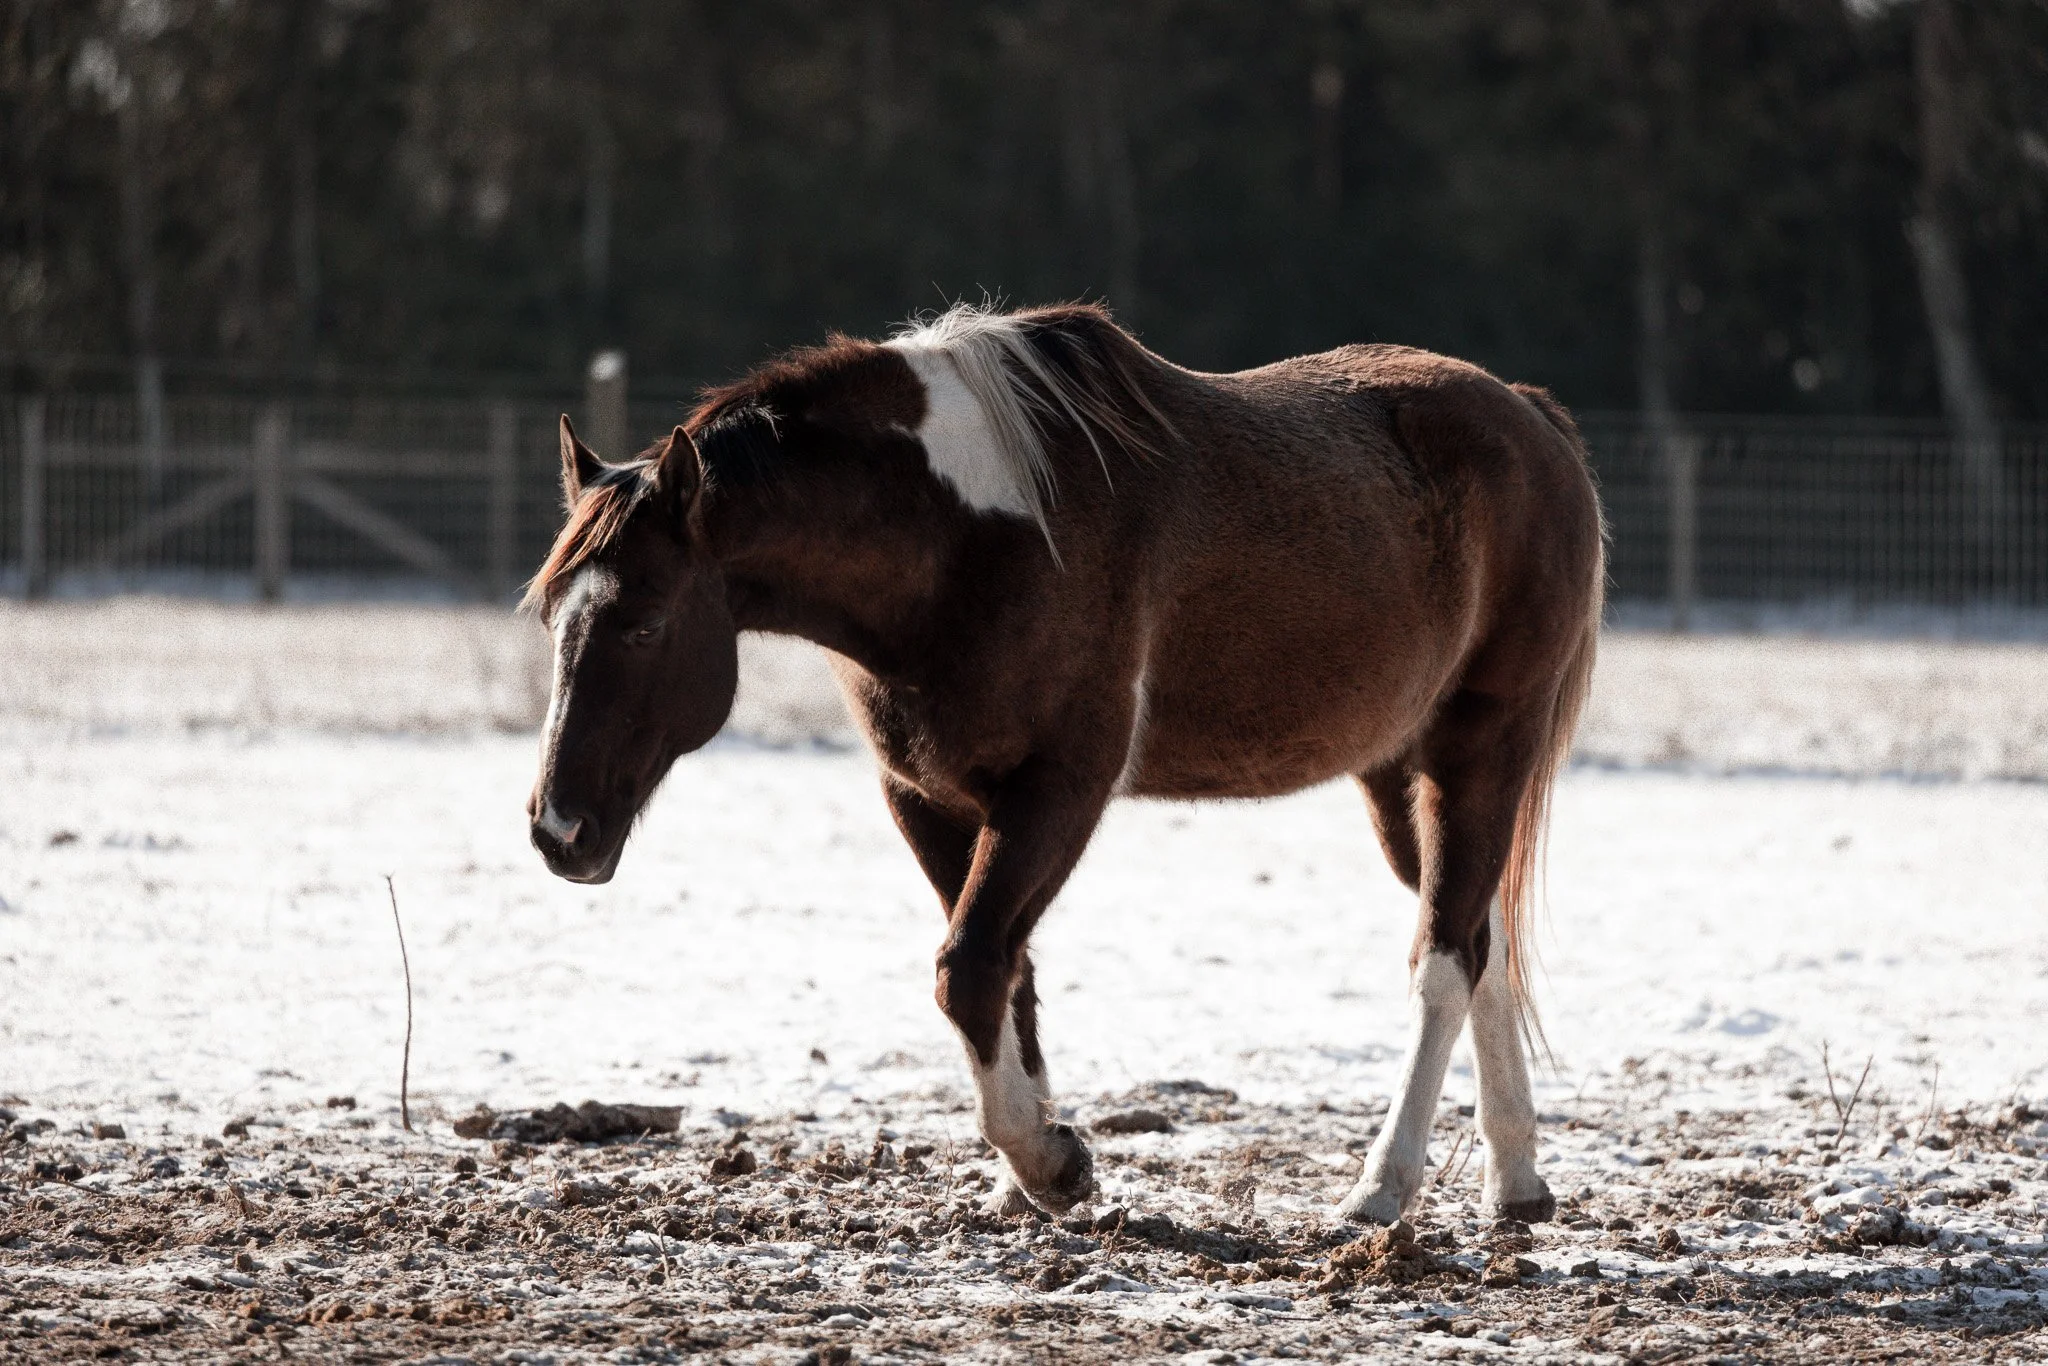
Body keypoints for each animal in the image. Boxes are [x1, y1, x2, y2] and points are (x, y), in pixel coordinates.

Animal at [522, 302, 1604, 1225]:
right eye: (549, 614)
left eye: (644, 621)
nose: (559, 829)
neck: (959, 538)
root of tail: (1533, 419)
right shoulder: (928, 797)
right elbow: (1005, 970)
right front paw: (1028, 1170)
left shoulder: (1059, 789)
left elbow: (969, 966)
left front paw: (1050, 1162)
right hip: (1394, 774)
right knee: (1479, 941)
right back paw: (1514, 1182)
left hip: (1479, 749)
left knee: (1443, 959)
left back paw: (1381, 1188)